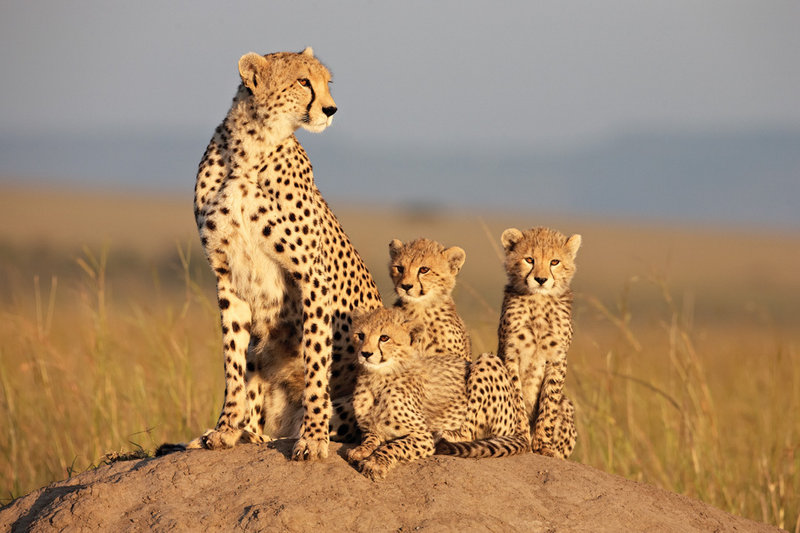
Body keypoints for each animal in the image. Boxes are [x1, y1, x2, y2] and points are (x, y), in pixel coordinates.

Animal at [346, 306, 528, 480]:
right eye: (360, 335)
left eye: (384, 338)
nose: (365, 353)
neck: (377, 378)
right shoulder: (370, 428)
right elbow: (370, 437)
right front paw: (361, 450)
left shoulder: (423, 437)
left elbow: (394, 446)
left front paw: (375, 463)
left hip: (487, 361)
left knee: (470, 432)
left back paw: (447, 433)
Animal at [496, 224, 580, 458]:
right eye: (529, 260)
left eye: (555, 262)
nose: (541, 280)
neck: (539, 301)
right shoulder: (510, 355)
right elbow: (516, 400)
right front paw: (522, 437)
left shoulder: (557, 359)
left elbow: (549, 403)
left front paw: (542, 445)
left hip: (566, 405)